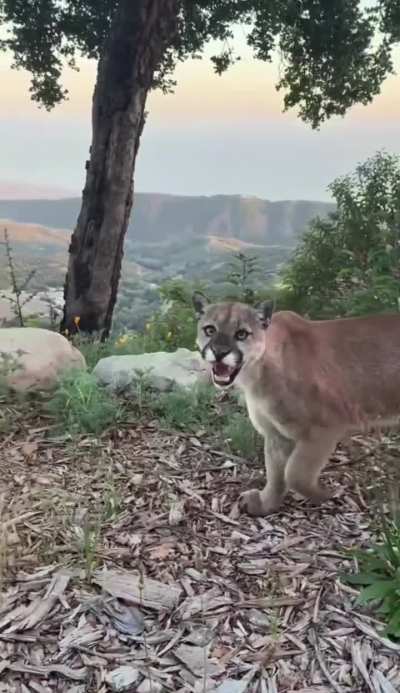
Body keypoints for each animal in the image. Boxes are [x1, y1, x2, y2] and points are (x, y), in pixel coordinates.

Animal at [193, 293, 400, 516]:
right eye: (210, 330)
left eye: (241, 334)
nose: (219, 351)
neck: (257, 374)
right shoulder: (276, 434)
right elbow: (276, 474)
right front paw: (265, 504)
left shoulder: (323, 430)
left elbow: (294, 474)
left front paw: (325, 494)